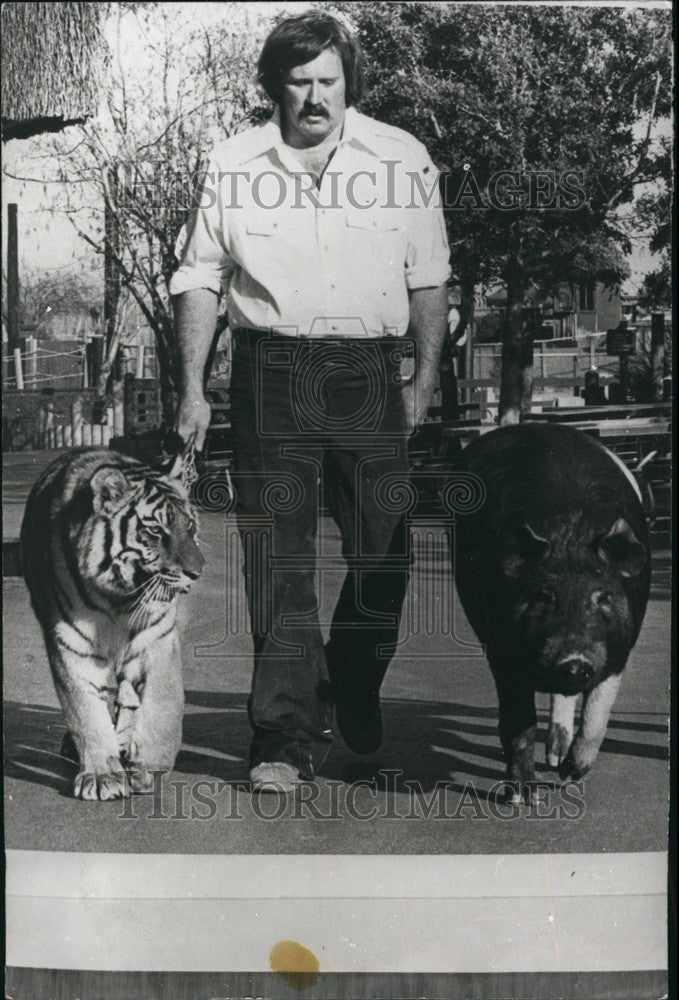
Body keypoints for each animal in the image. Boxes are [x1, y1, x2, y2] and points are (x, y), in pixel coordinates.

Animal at [19, 446, 203, 796]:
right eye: (155, 531)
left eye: (190, 526)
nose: (197, 572)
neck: (120, 599)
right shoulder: (72, 645)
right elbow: (86, 714)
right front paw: (102, 777)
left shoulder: (157, 641)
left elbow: (163, 705)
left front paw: (149, 768)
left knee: (130, 699)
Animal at [454, 426, 652, 800]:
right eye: (543, 595)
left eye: (603, 596)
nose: (574, 662)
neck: (570, 534)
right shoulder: (501, 647)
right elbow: (518, 719)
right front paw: (523, 797)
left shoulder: (621, 647)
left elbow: (599, 709)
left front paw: (571, 774)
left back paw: (558, 760)